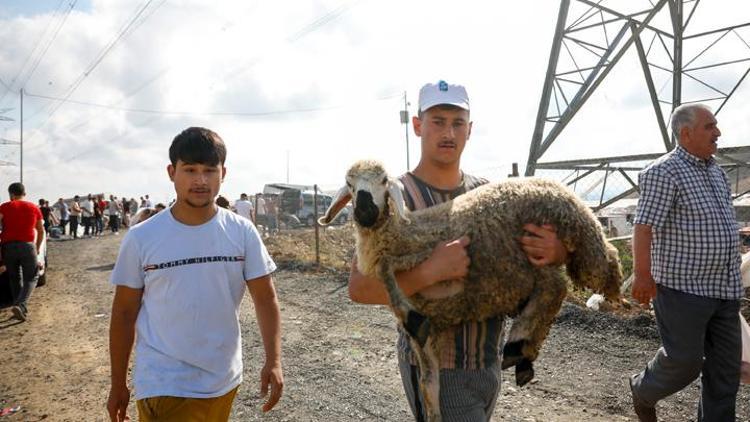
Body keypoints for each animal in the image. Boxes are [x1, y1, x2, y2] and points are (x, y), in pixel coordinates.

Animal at [320, 159, 624, 422]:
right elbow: (428, 386)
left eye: (383, 181)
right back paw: (521, 352)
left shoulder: (426, 258)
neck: (402, 232)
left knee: (582, 274)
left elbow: (386, 269)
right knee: (552, 288)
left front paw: (411, 317)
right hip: (527, 262)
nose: (364, 212)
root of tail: (557, 186)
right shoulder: (428, 337)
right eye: (349, 184)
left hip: (568, 243)